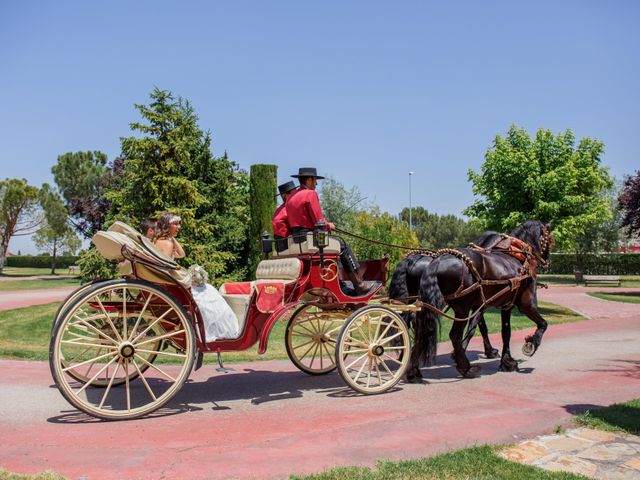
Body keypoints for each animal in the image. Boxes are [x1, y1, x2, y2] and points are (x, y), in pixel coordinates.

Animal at [408, 220, 552, 382]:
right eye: (550, 239)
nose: (547, 261)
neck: (517, 255)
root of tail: (437, 261)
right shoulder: (526, 305)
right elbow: (542, 324)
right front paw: (531, 343)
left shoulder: (504, 306)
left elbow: (505, 332)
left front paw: (506, 361)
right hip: (462, 309)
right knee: (454, 335)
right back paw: (466, 368)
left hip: (431, 304)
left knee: (422, 331)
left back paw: (413, 371)